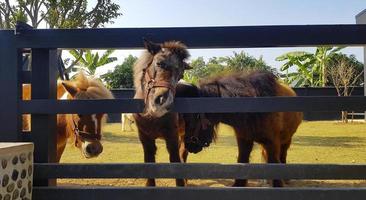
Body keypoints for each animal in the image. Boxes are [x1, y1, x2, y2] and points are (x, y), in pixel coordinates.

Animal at [133, 39, 192, 187]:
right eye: (159, 63)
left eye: (181, 74)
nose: (162, 101)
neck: (151, 117)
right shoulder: (145, 139)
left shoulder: (172, 138)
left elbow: (176, 161)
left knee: (183, 153)